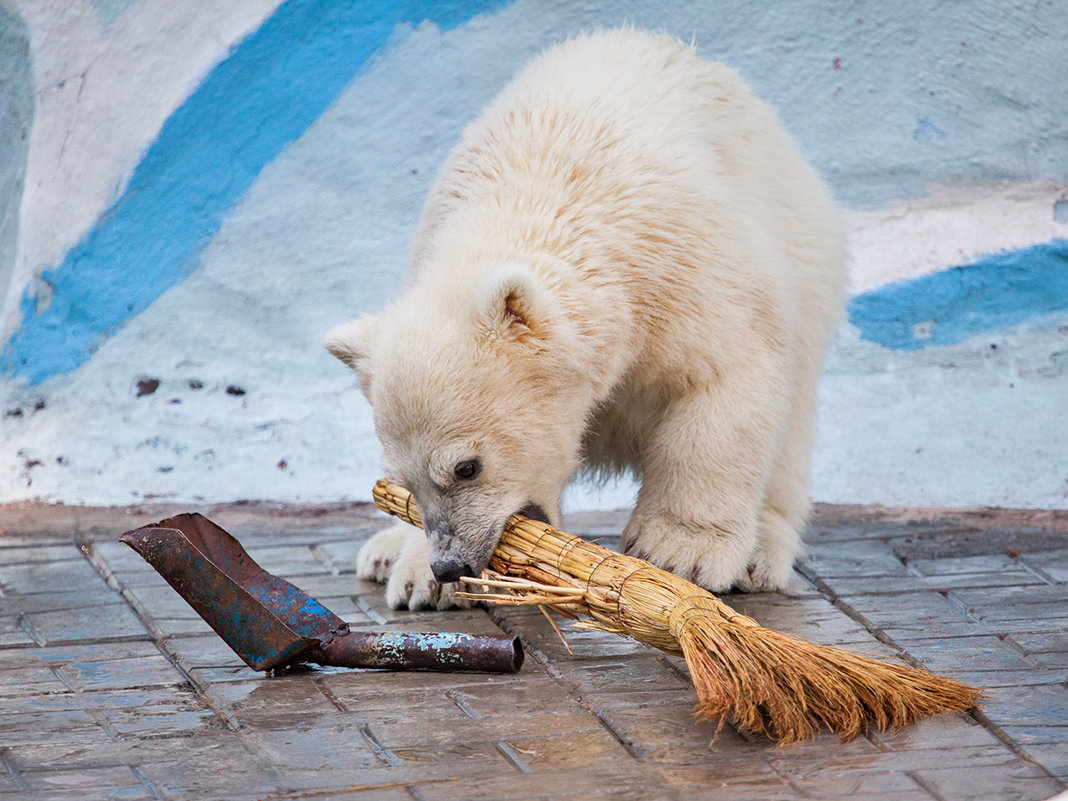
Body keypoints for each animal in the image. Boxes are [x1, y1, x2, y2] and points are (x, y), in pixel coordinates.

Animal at [328, 28, 845, 610]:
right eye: (406, 480)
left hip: (805, 258)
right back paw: (381, 552)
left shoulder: (685, 269)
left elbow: (723, 378)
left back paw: (761, 553)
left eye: (466, 466)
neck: (538, 191)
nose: (451, 564)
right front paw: (420, 579)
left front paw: (677, 554)